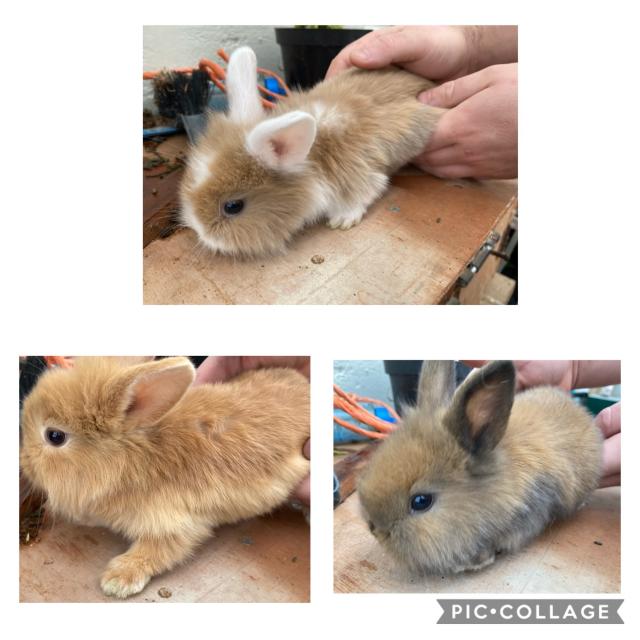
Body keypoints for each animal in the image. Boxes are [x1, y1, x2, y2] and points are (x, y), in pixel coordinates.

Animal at [20, 356, 309, 598]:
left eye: (54, 436)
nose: (24, 462)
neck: (129, 460)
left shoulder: (174, 523)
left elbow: (157, 552)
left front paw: (118, 580)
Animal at [179, 46, 445, 257]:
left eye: (233, 206)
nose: (201, 233)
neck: (313, 157)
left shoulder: (358, 173)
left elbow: (368, 190)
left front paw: (342, 220)